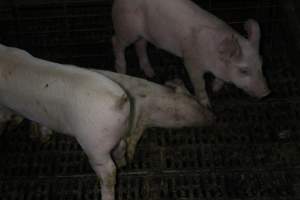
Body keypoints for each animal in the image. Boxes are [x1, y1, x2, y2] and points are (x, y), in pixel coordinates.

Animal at [0, 43, 131, 200]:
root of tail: (119, 101)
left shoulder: (3, 106)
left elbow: (4, 118)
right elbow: (39, 122)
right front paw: (43, 137)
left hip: (94, 144)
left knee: (108, 171)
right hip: (116, 133)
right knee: (122, 145)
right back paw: (122, 164)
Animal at [111, 0, 270, 107]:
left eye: (261, 65)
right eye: (244, 70)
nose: (266, 93)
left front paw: (215, 88)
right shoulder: (191, 60)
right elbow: (199, 83)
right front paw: (206, 104)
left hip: (143, 34)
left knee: (140, 45)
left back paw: (151, 73)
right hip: (125, 27)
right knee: (116, 42)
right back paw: (122, 71)